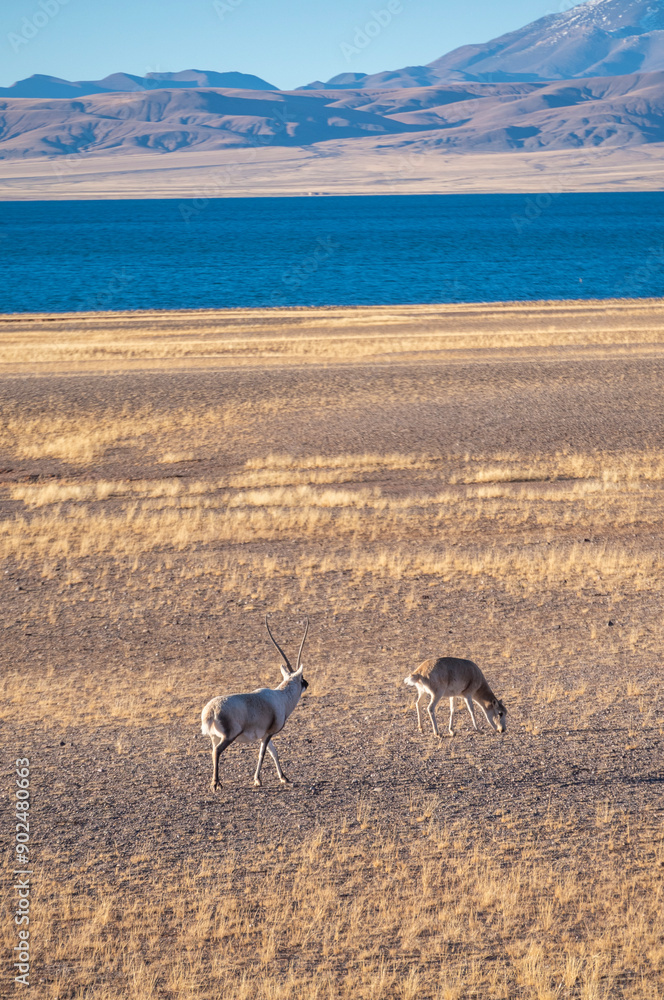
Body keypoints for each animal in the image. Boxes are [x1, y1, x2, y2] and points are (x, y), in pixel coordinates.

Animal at [201, 616, 309, 792]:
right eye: (301, 678)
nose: (306, 683)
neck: (281, 697)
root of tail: (211, 711)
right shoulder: (268, 733)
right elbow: (262, 754)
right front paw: (258, 780)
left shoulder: (265, 734)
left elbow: (274, 752)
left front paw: (284, 777)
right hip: (229, 736)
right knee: (217, 751)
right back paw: (216, 784)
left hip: (214, 736)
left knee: (212, 751)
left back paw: (216, 782)